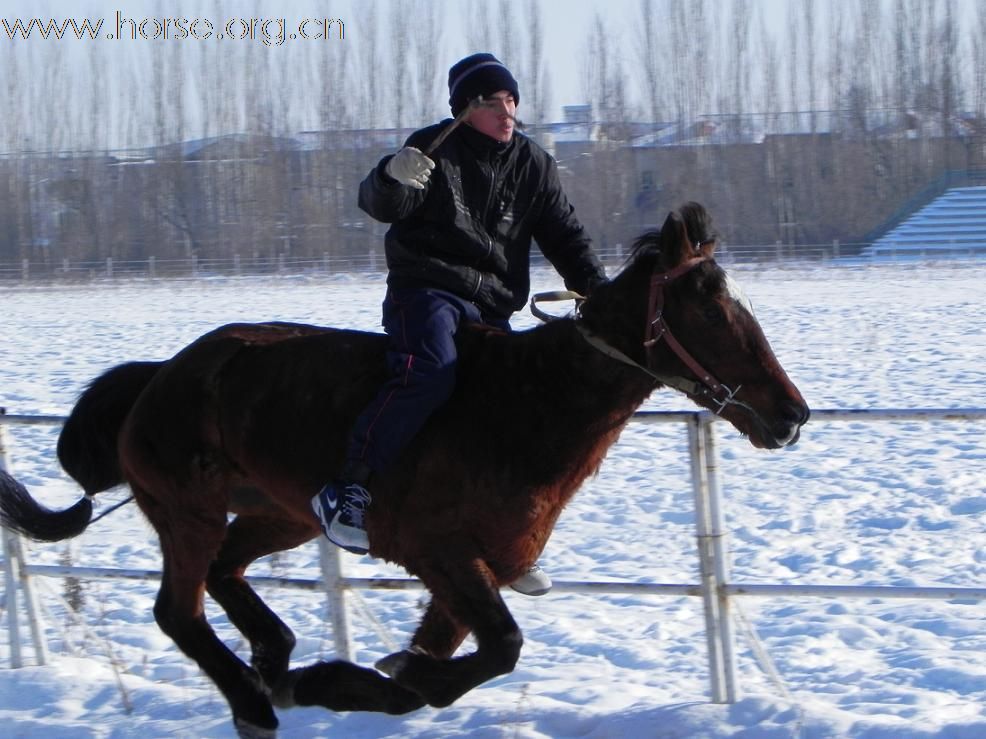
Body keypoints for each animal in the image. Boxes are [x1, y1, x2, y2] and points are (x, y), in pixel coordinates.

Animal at [0, 204, 808, 739]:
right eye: (712, 309)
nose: (792, 412)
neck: (526, 404)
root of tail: (160, 375)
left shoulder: (473, 571)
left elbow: (443, 673)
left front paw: (344, 678)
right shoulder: (441, 553)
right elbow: (497, 648)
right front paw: (347, 676)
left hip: (279, 512)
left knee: (227, 572)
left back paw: (277, 661)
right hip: (185, 509)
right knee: (179, 609)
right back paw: (254, 699)